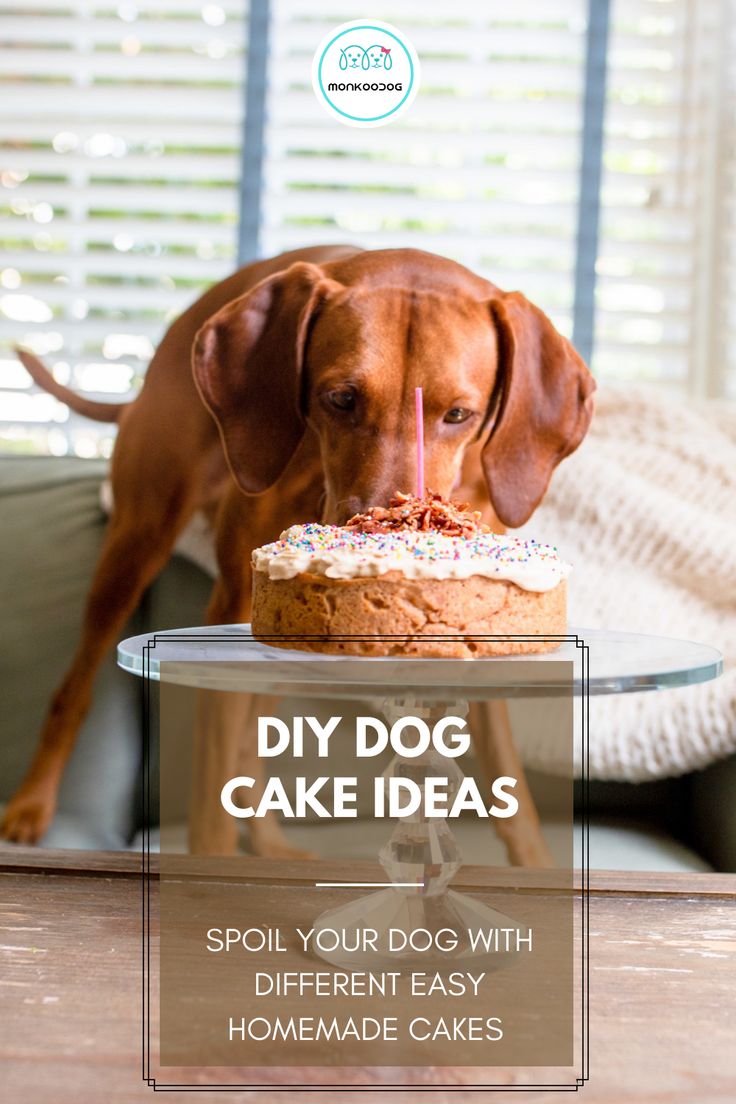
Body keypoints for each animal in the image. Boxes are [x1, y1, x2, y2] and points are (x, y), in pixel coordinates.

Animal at [1, 248, 591, 852]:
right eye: (341, 399)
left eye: (457, 415)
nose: (384, 527)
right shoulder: (231, 614)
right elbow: (212, 789)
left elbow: (511, 790)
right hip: (135, 546)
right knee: (76, 688)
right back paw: (32, 804)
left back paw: (269, 847)